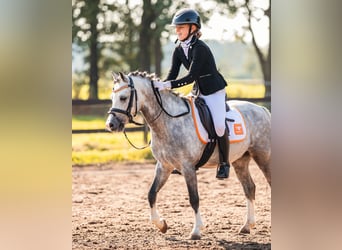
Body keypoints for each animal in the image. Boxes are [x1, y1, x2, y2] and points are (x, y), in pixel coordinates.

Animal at [105, 71, 272, 239]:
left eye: (123, 98)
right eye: (112, 97)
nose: (111, 125)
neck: (168, 122)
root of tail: (262, 109)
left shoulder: (188, 167)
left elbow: (194, 198)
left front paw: (196, 231)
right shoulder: (164, 166)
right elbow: (151, 194)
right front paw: (161, 225)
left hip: (263, 156)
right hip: (240, 160)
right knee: (249, 187)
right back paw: (247, 226)